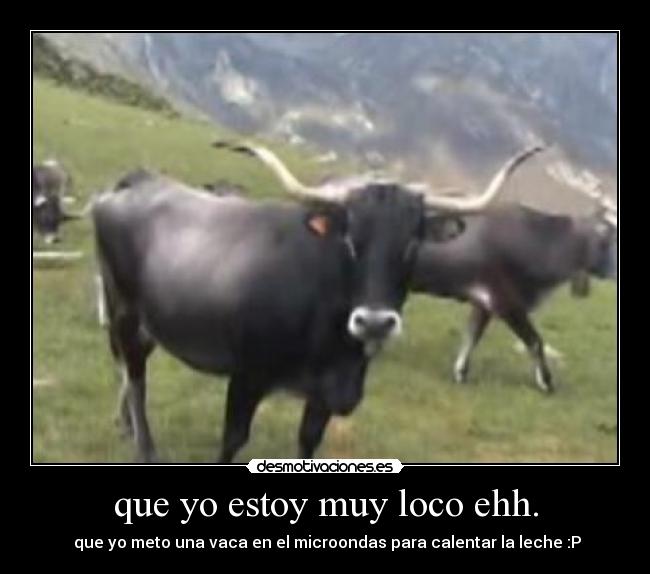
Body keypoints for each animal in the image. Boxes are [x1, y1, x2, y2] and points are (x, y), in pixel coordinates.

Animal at [93, 142, 542, 462]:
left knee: (130, 368)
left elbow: (308, 442)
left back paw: (125, 426)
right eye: (349, 239)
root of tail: (136, 183)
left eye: (413, 244)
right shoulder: (247, 376)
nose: (375, 323)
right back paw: (145, 447)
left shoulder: (324, 395)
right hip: (123, 310)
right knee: (135, 377)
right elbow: (232, 441)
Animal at [410, 200, 617, 393]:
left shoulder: (484, 304)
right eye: (608, 237)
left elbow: (472, 336)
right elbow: (535, 341)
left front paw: (460, 374)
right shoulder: (506, 301)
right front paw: (547, 383)